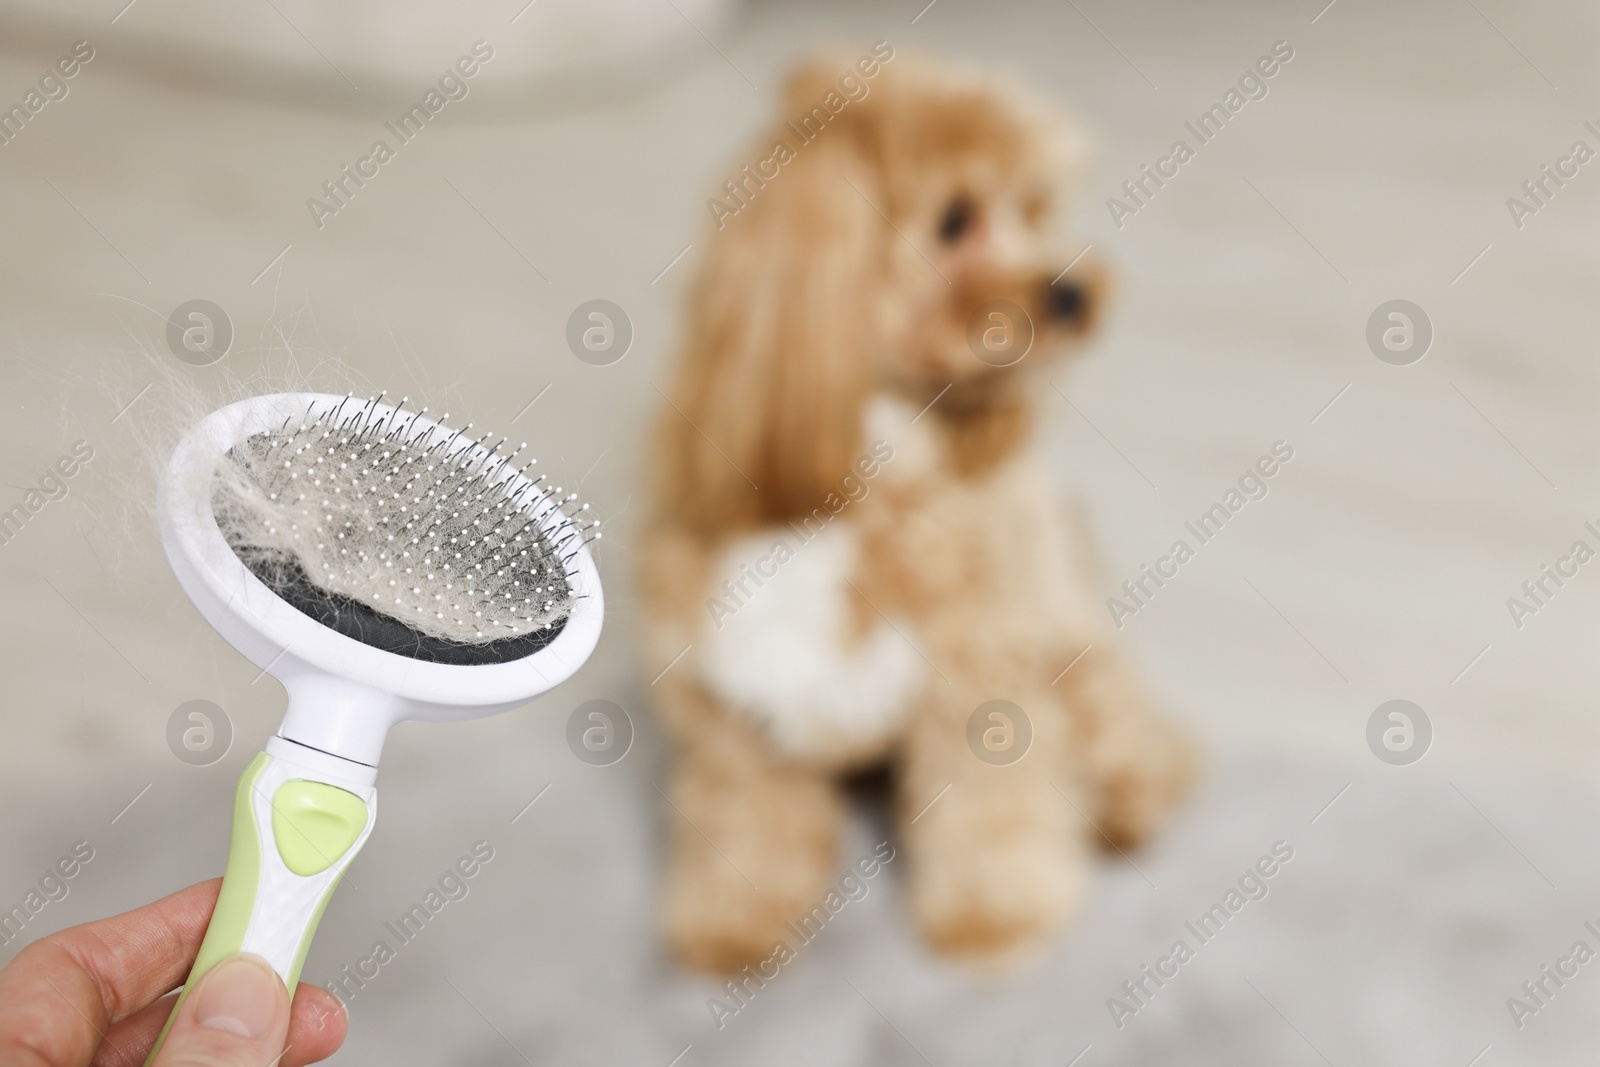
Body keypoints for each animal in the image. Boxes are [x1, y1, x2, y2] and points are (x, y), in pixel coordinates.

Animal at [633, 54, 1190, 972]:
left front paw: (995, 917)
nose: (1075, 292)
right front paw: (735, 920)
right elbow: (745, 820)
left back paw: (1130, 806)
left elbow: (991, 813)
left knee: (1141, 738)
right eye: (954, 218)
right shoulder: (726, 706)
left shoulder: (981, 683)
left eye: (1033, 206)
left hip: (1075, 651)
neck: (865, 474)